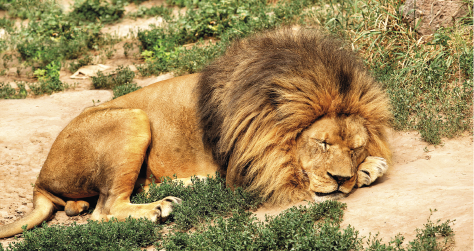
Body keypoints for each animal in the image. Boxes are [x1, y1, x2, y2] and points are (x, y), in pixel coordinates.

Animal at [0, 28, 392, 238]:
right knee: (105, 208)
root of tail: (40, 179)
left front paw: (369, 167)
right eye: (321, 142)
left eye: (355, 148)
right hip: (132, 118)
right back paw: (160, 207)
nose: (341, 179)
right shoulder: (250, 165)